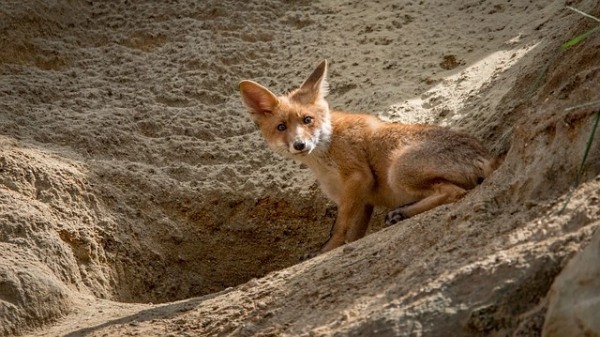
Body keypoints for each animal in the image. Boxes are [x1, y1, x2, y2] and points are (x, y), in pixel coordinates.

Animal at [239, 59, 496, 258]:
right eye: (281, 127)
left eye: (307, 120)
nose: (300, 145)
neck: (328, 152)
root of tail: (485, 155)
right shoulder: (363, 201)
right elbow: (353, 236)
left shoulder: (358, 178)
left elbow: (339, 228)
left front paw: (325, 251)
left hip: (398, 171)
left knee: (454, 192)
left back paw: (403, 212)